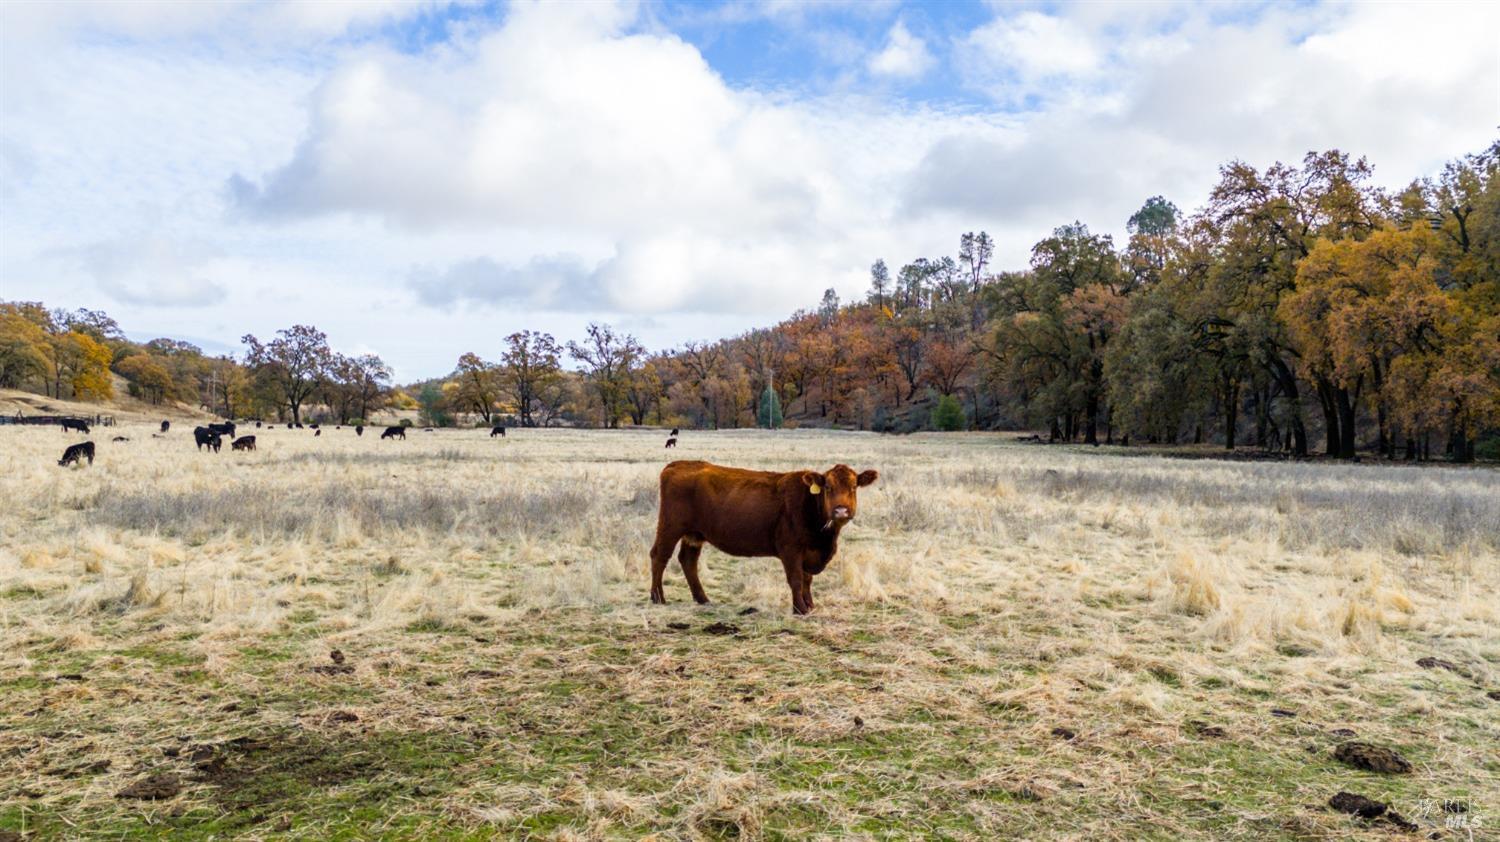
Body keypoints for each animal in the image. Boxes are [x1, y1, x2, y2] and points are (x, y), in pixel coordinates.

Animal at [648, 462, 876, 615]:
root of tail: (677, 464)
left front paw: (810, 605)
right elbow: (796, 579)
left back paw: (703, 599)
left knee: (688, 561)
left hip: (694, 535)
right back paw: (658, 597)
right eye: (828, 487)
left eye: (854, 487)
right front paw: (800, 609)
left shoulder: (808, 553)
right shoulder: (790, 549)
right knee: (659, 556)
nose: (841, 511)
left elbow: (807, 580)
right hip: (670, 528)